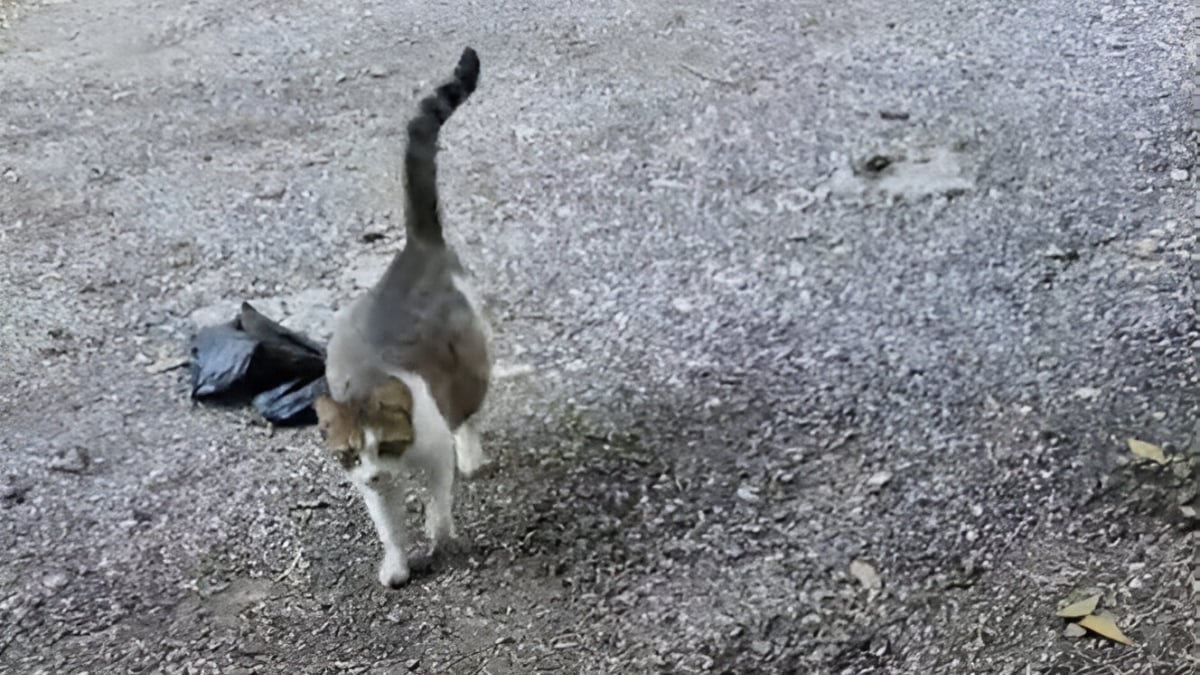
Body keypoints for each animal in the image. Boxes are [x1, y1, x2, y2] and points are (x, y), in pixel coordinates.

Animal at [316, 47, 494, 586]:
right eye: (351, 454)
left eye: (385, 446)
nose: (376, 473)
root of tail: (415, 248)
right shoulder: (370, 488)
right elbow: (389, 526)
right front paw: (396, 564)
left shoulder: (433, 459)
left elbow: (438, 501)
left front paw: (439, 534)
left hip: (471, 355)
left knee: (468, 411)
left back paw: (471, 453)